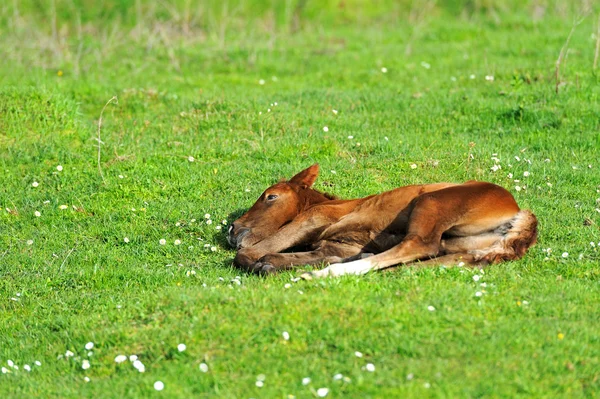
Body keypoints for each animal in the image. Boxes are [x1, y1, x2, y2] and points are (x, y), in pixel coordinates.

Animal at [227, 164, 536, 280]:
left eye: (271, 196)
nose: (232, 228)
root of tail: (519, 213)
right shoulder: (337, 245)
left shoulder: (312, 219)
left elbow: (250, 253)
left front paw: (262, 263)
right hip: (465, 252)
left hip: (431, 202)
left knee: (419, 245)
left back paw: (323, 274)